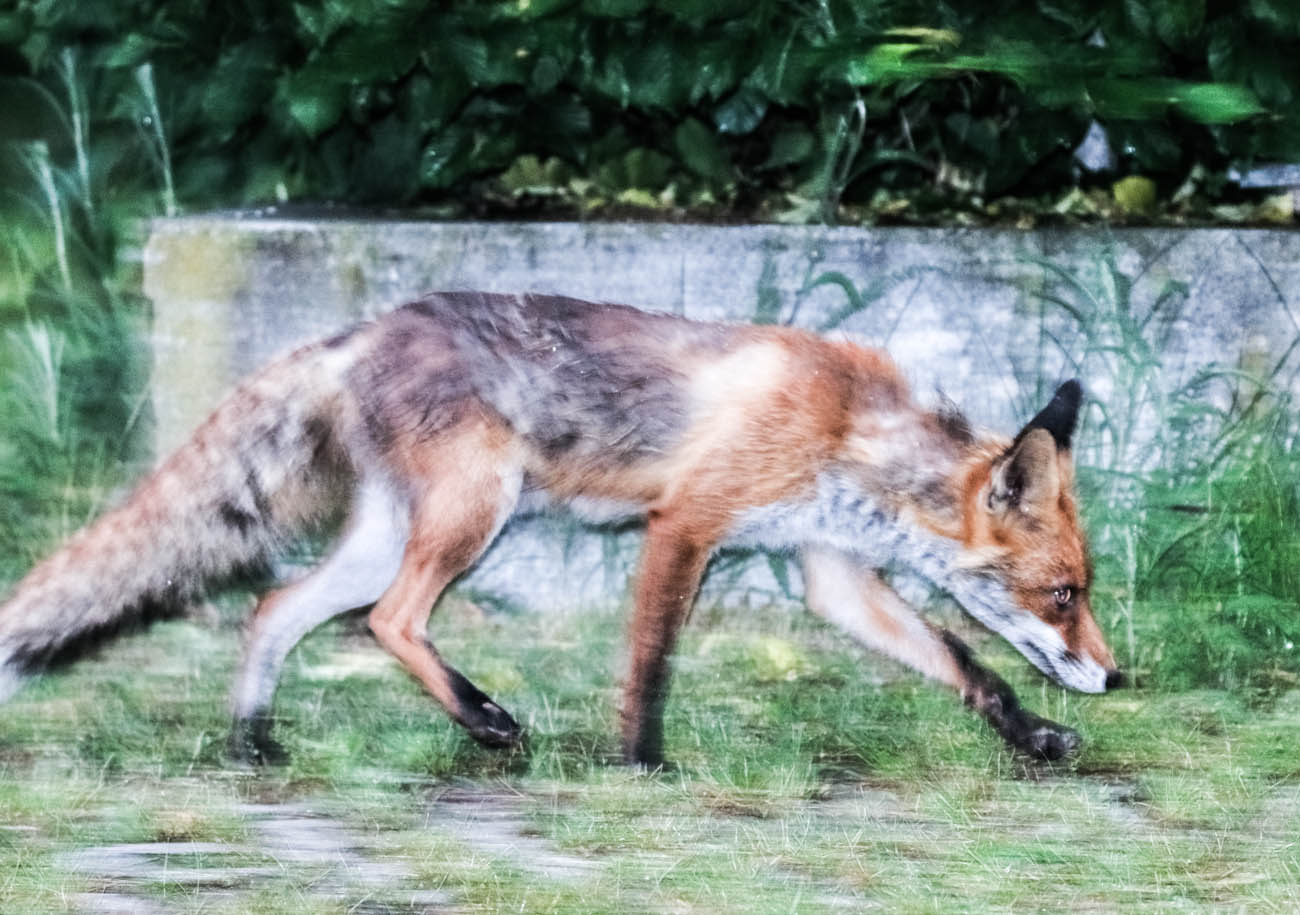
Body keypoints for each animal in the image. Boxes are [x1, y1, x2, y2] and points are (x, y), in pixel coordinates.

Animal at [0, 292, 1122, 766]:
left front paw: (1035, 735)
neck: (849, 430)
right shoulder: (687, 524)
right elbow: (651, 662)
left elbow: (966, 665)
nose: (1117, 677)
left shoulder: (829, 571)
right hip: (473, 515)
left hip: (385, 536)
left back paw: (252, 741)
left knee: (276, 607)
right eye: (1063, 593)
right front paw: (641, 762)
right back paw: (483, 719)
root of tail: (361, 328)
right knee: (390, 621)